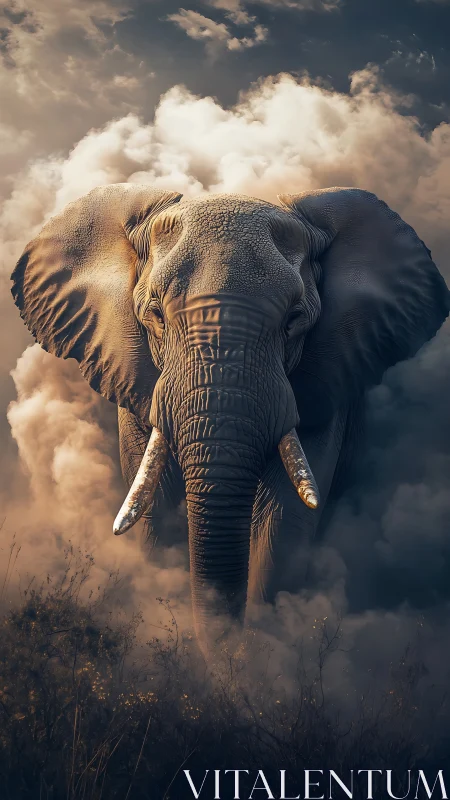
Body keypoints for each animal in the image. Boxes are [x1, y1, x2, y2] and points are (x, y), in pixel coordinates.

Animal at [11, 183, 449, 652]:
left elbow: (285, 519)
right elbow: (153, 506)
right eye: (156, 316)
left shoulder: (327, 381)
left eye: (294, 321)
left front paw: (262, 653)